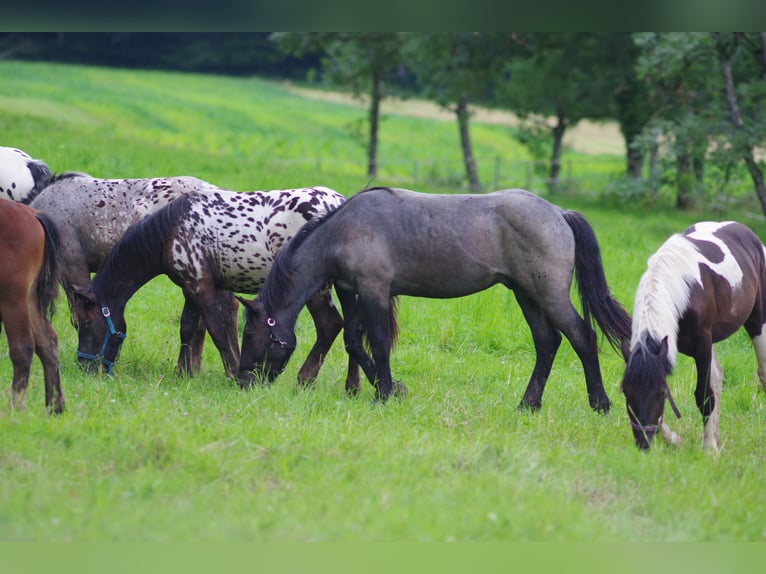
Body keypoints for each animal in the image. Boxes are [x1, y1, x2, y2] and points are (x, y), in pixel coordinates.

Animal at [0, 201, 64, 414]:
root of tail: (32, 214)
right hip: (29, 300)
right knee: (47, 343)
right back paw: (55, 407)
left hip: (13, 299)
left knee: (23, 349)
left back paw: (15, 409)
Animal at [72, 189, 360, 392]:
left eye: (85, 323)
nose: (83, 366)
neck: (171, 231)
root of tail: (339, 202)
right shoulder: (190, 287)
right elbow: (188, 328)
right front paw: (183, 373)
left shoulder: (201, 286)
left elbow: (217, 331)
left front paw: (232, 374)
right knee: (352, 329)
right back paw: (352, 387)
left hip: (318, 289)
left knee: (330, 325)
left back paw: (305, 379)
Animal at [238, 187, 632, 412]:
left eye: (252, 334)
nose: (243, 382)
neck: (344, 230)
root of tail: (559, 214)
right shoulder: (357, 292)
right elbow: (352, 340)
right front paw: (390, 388)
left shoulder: (375, 290)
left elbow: (379, 343)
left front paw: (385, 393)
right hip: (526, 295)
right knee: (547, 344)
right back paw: (528, 404)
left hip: (549, 295)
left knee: (583, 337)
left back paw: (600, 404)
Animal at [620, 223, 766, 452]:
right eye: (626, 391)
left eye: (660, 393)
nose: (643, 444)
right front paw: (675, 439)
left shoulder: (702, 347)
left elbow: (704, 396)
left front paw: (709, 449)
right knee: (718, 376)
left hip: (757, 322)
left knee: (762, 371)